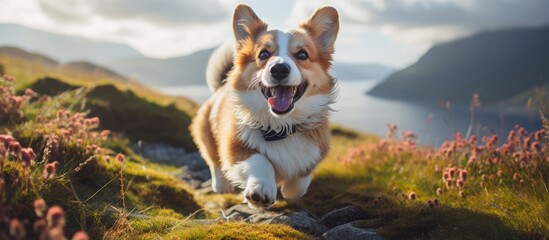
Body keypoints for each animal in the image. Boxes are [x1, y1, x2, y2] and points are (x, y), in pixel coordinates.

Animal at [193, 4, 338, 208]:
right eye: (263, 54)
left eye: (302, 54)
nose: (279, 69)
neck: (280, 126)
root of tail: (220, 88)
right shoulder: (235, 147)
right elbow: (260, 161)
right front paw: (260, 191)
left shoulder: (315, 150)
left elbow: (300, 182)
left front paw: (288, 190)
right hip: (206, 129)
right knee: (213, 159)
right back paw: (222, 184)